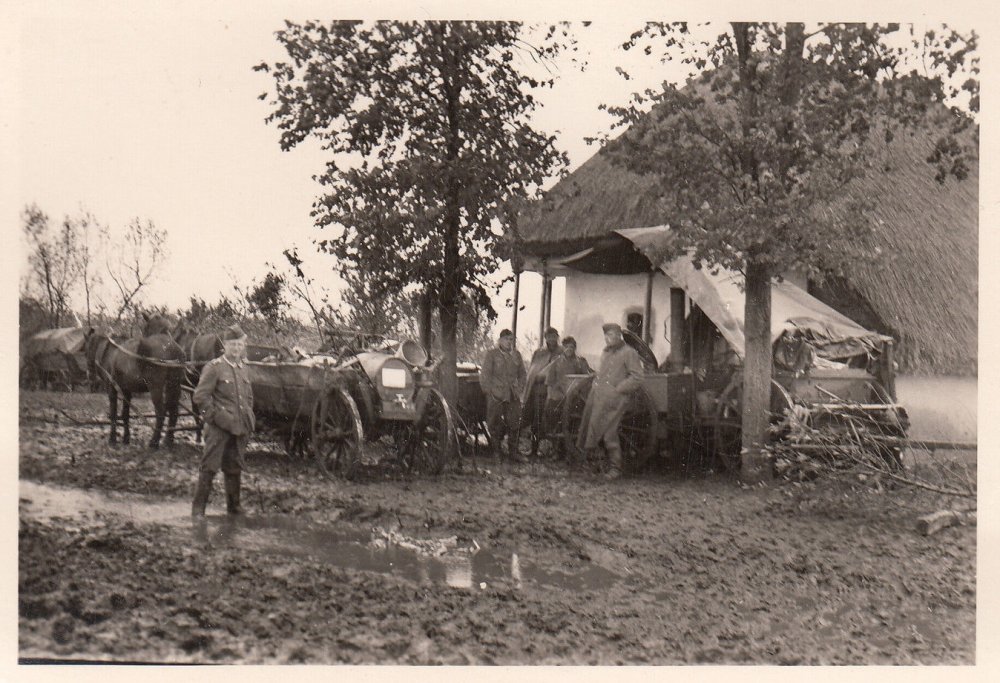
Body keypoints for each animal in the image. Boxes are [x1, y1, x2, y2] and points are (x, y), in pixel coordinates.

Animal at [84, 314, 186, 448]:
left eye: (86, 351)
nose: (90, 377)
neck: (109, 351)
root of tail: (171, 347)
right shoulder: (126, 390)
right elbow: (125, 414)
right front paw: (126, 438)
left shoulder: (112, 388)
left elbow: (113, 414)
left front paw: (112, 439)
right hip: (174, 385)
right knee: (174, 411)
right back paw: (168, 440)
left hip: (156, 387)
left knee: (161, 412)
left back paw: (154, 442)